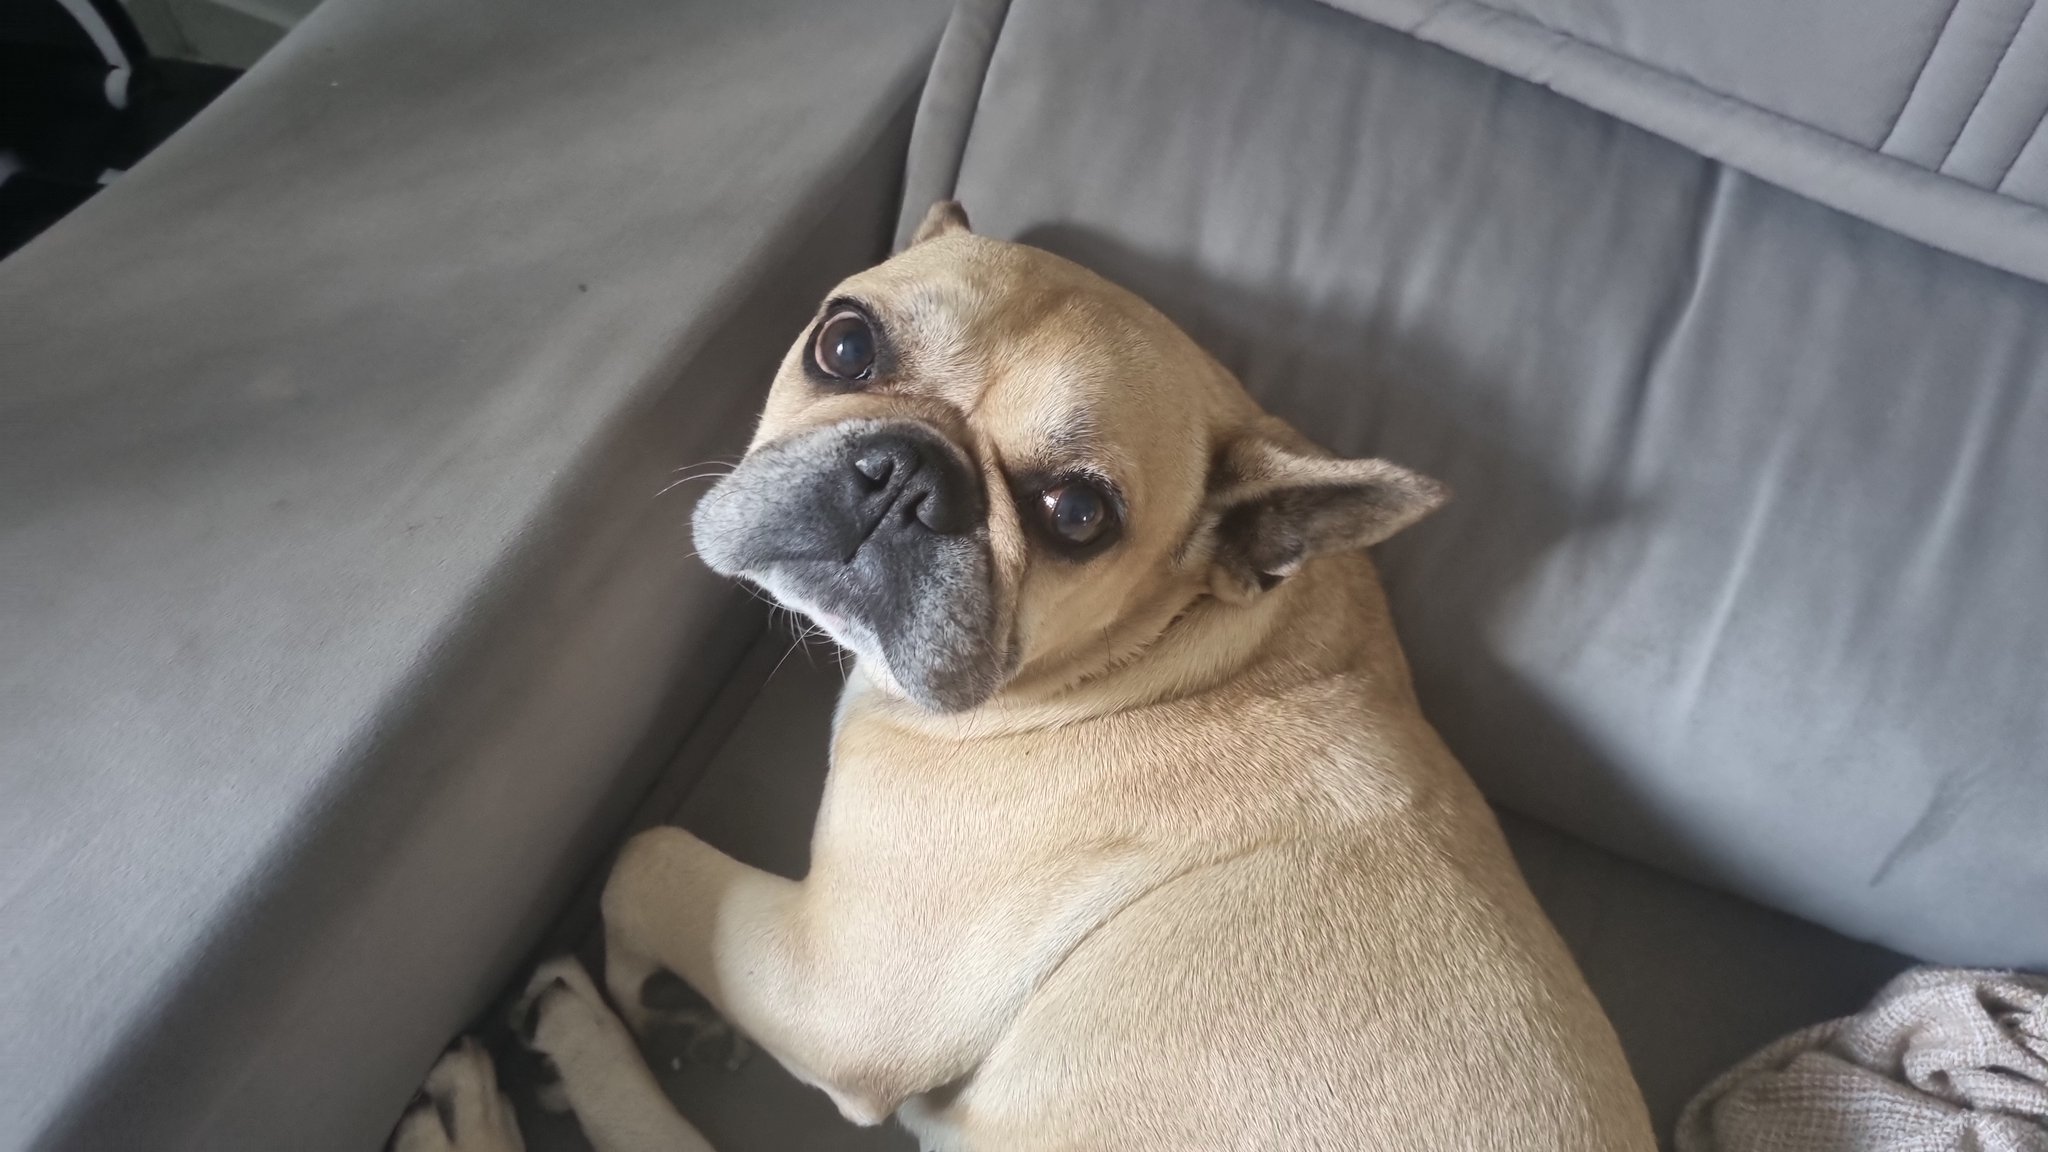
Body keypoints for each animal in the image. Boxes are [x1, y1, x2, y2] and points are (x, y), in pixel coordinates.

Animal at [392, 201, 1656, 1152]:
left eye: (1076, 515)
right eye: (843, 344)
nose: (905, 473)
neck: (1173, 651)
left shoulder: (836, 983)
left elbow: (643, 859)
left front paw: (633, 987)